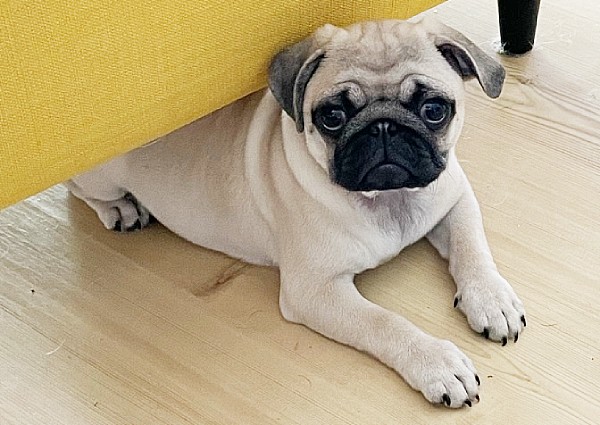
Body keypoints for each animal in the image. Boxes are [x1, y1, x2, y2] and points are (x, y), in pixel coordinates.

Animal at [68, 17, 526, 408]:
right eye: (332, 117)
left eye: (434, 110)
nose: (383, 127)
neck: (388, 199)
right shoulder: (314, 291)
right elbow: (383, 322)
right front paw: (436, 362)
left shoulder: (455, 199)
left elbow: (472, 248)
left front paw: (491, 299)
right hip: (102, 177)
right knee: (78, 191)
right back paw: (122, 208)